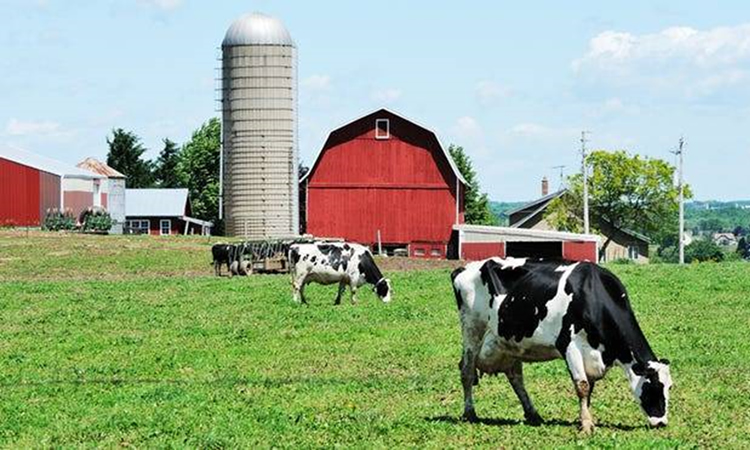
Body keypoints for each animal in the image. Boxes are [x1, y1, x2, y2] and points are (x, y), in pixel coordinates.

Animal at [452, 258, 676, 434]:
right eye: (653, 386)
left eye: (670, 386)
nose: (662, 422)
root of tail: (465, 268)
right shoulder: (569, 345)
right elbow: (582, 386)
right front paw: (586, 426)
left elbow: (589, 389)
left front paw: (585, 419)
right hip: (472, 329)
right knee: (467, 371)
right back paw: (470, 413)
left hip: (509, 342)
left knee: (516, 378)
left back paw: (533, 414)